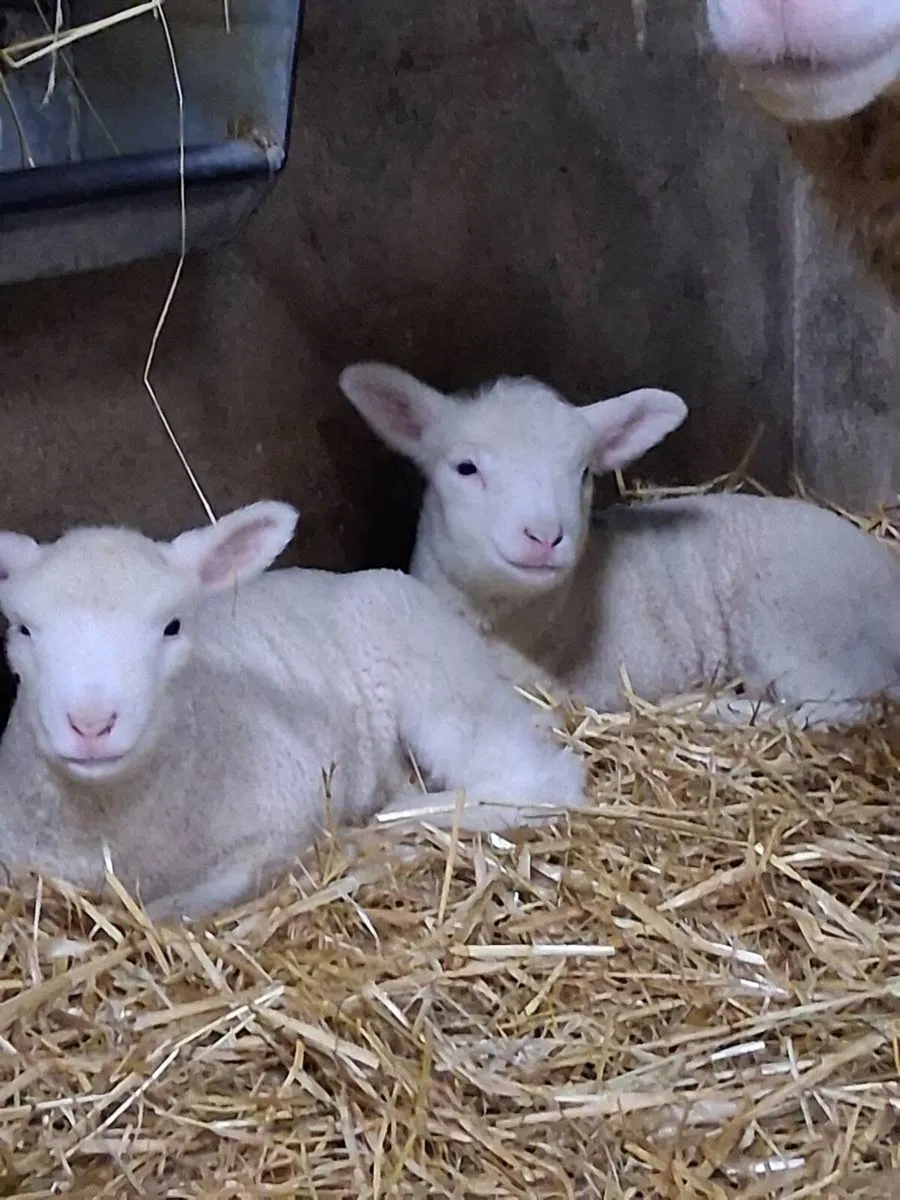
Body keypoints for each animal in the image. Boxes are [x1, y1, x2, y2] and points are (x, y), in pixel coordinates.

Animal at [0, 500, 585, 921]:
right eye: (22, 628)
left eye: (173, 626)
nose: (91, 724)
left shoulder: (288, 803)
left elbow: (197, 898)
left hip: (441, 687)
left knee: (539, 778)